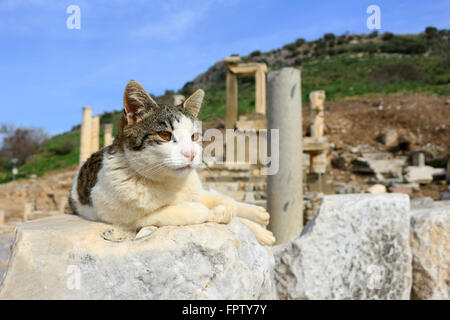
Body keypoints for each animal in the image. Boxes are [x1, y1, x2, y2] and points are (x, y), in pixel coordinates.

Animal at [69, 80, 276, 245]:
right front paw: (204, 212)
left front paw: (228, 212)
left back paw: (259, 216)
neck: (169, 182)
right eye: (164, 135)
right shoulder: (115, 214)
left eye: (194, 137)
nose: (191, 154)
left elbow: (228, 204)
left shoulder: (196, 190)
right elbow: (173, 213)